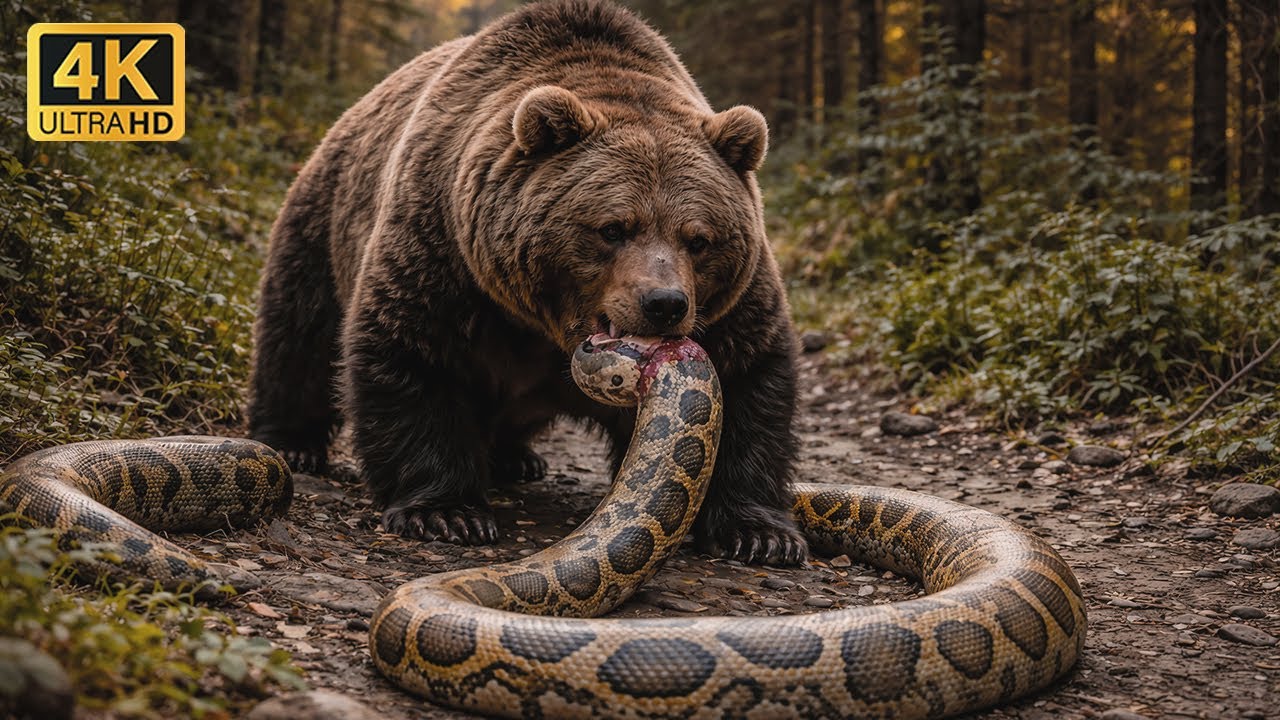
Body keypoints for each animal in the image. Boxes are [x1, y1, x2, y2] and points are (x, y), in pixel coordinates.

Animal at [247, 0, 805, 565]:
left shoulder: (731, 303)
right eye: (613, 228)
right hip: (322, 220)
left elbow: (746, 378)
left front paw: (760, 533)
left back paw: (516, 458)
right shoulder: (444, 254)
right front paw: (448, 512)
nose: (663, 303)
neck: (545, 326)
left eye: (698, 238)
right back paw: (293, 440)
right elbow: (414, 352)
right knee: (299, 332)